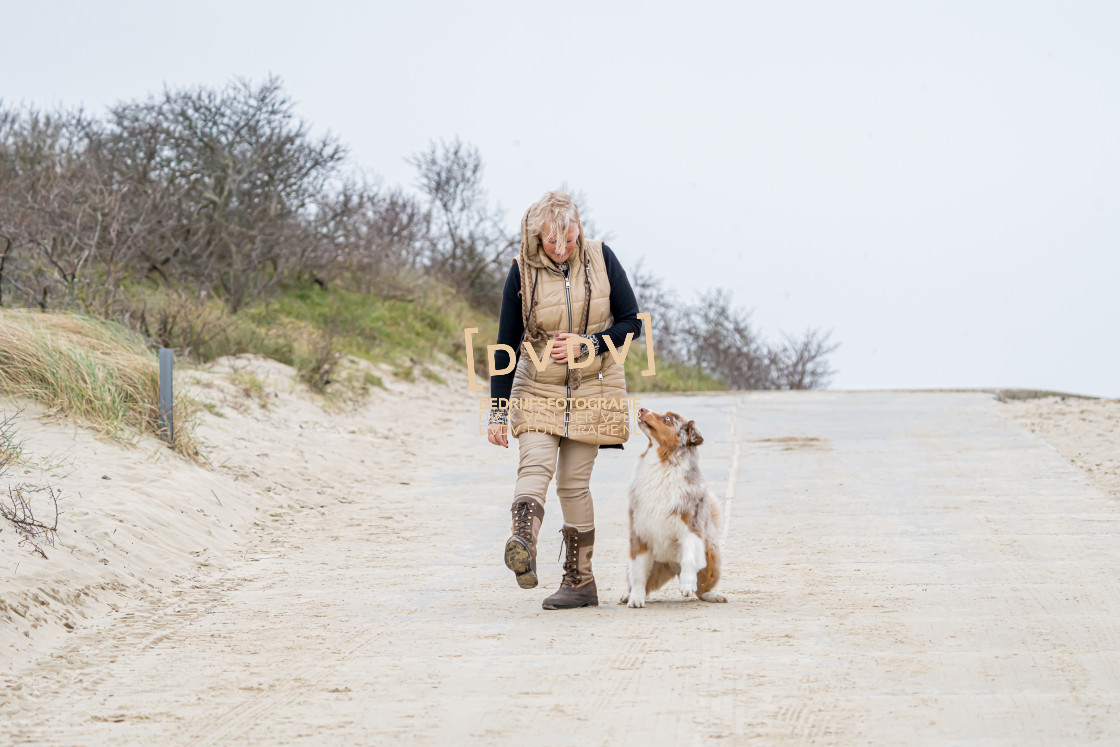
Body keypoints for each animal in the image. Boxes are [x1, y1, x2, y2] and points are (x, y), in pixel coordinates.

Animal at [622, 409, 725, 609]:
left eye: (668, 418)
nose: (642, 409)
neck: (662, 461)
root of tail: (672, 567)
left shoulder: (691, 526)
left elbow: (689, 558)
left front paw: (687, 585)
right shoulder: (639, 531)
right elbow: (638, 572)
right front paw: (636, 599)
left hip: (711, 554)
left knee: (702, 587)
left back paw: (713, 595)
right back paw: (626, 595)